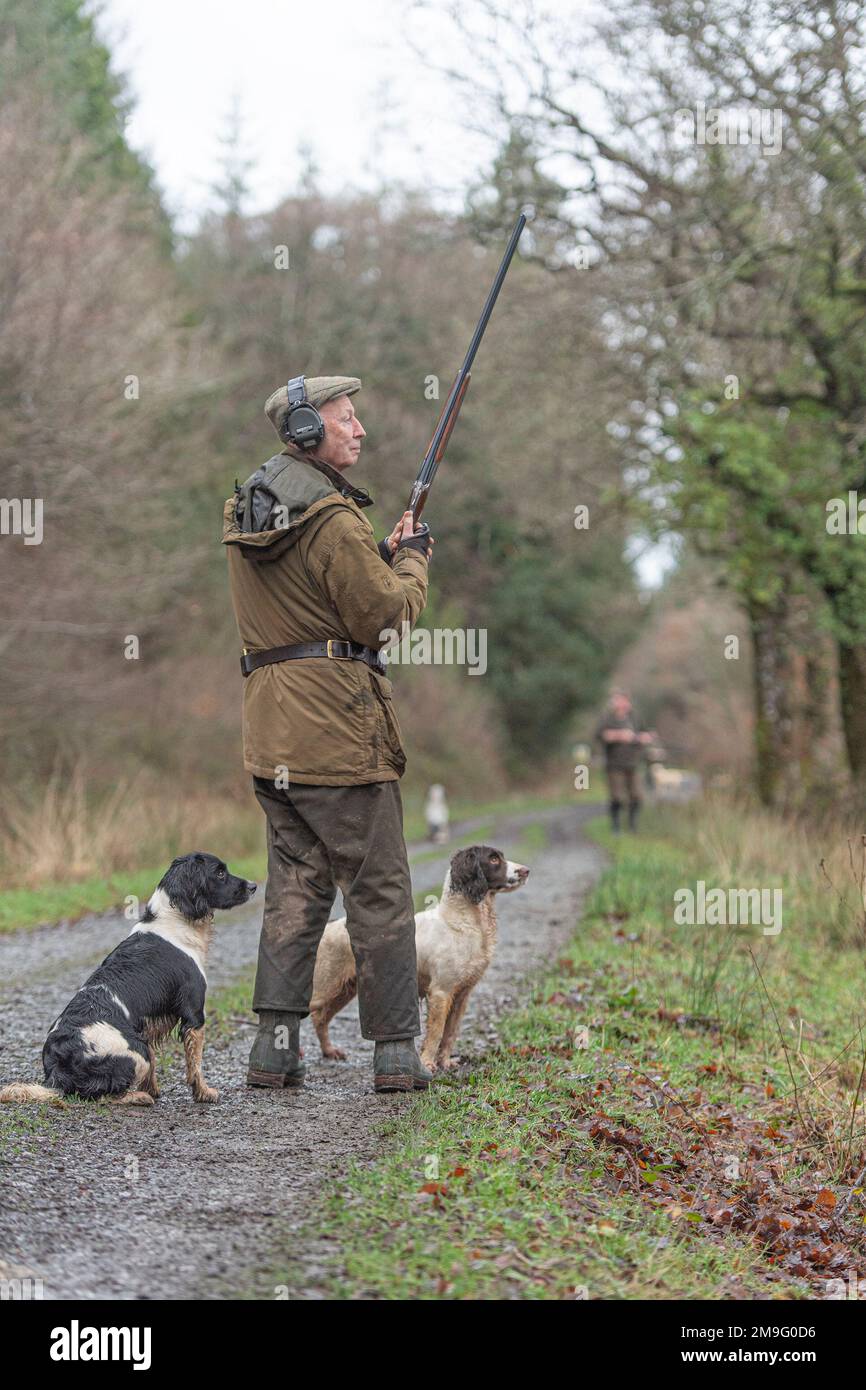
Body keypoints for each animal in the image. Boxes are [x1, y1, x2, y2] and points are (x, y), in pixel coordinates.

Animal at [0, 845, 255, 1106]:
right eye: (220, 873)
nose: (254, 886)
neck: (173, 920)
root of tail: (57, 1073)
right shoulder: (193, 1014)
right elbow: (195, 1065)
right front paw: (204, 1093)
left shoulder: (147, 1023)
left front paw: (155, 1089)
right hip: (135, 1051)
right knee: (102, 1095)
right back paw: (139, 1097)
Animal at [311, 845, 528, 1073]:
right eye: (494, 859)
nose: (526, 871)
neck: (463, 922)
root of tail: (330, 925)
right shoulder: (441, 991)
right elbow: (436, 1032)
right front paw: (427, 1063)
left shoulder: (462, 994)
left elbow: (450, 1032)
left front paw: (445, 1062)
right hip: (325, 986)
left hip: (344, 989)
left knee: (320, 1019)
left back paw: (329, 1051)